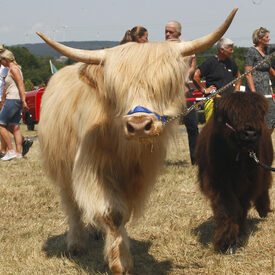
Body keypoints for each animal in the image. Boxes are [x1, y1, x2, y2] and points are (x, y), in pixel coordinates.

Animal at [37, 7, 238, 274]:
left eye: (164, 85)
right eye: (117, 90)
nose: (140, 126)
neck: (126, 150)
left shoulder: (139, 176)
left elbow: (122, 214)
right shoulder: (92, 168)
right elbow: (112, 213)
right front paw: (120, 262)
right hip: (61, 167)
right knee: (72, 203)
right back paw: (76, 243)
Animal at [196, 92, 274, 254]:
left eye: (258, 114)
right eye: (231, 116)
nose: (250, 133)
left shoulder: (249, 184)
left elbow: (242, 207)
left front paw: (240, 231)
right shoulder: (218, 183)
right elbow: (227, 208)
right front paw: (227, 242)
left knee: (264, 188)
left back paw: (263, 211)